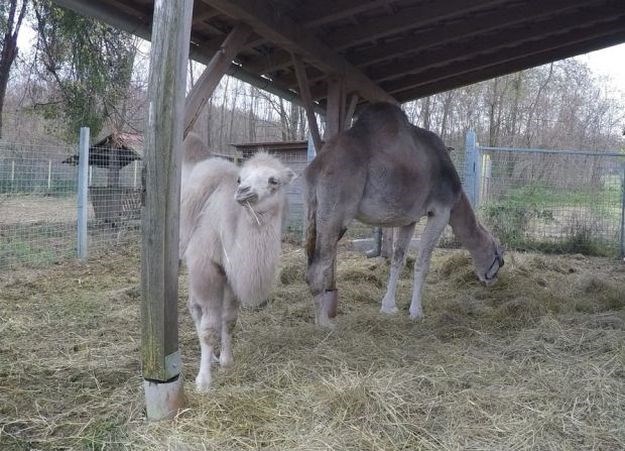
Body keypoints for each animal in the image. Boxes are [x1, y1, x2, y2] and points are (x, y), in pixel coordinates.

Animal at [180, 134, 294, 392]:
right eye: (240, 178)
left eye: (274, 180)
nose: (243, 191)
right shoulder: (207, 266)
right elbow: (209, 328)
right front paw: (203, 381)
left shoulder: (231, 272)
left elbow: (229, 319)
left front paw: (226, 360)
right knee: (195, 307)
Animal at [304, 103, 504, 326]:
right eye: (499, 258)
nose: (492, 279)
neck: (457, 197)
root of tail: (316, 167)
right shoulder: (441, 211)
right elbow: (422, 263)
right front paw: (416, 312)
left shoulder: (410, 219)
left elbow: (398, 259)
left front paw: (388, 306)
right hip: (336, 211)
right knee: (317, 265)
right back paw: (324, 323)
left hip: (313, 210)